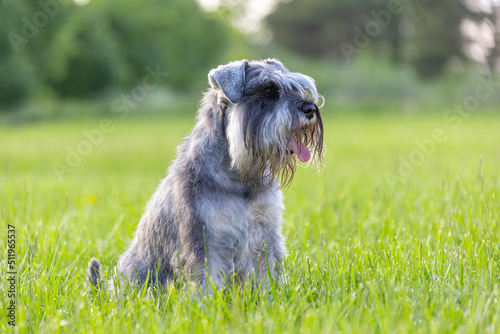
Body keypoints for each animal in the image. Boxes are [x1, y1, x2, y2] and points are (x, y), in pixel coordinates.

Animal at [87, 58, 324, 294]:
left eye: (296, 88)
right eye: (267, 91)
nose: (310, 108)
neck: (241, 176)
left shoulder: (266, 233)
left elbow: (268, 271)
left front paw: (270, 295)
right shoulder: (205, 239)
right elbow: (206, 279)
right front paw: (209, 302)